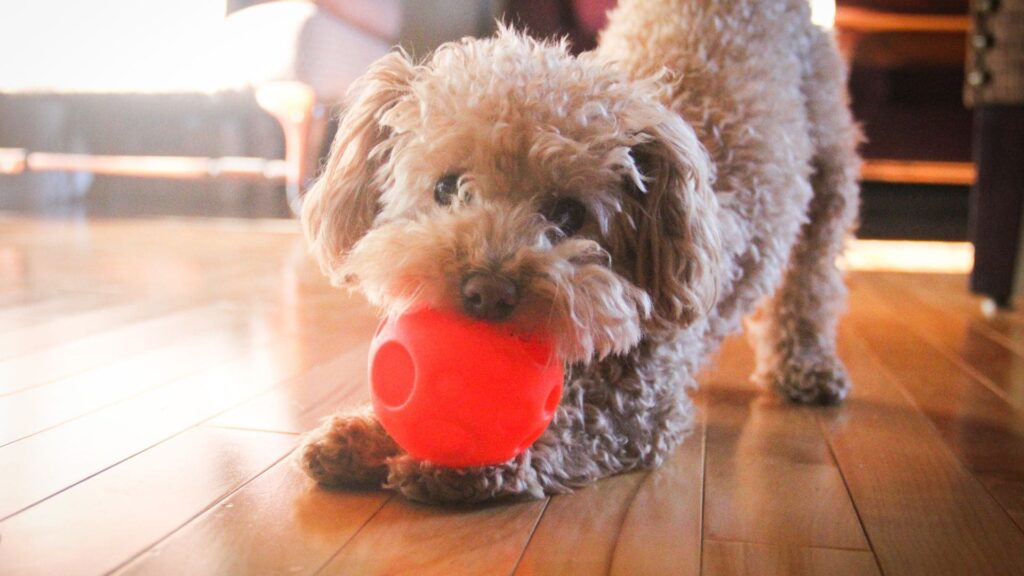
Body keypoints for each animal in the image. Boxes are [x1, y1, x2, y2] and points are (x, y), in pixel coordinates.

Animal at [299, 0, 864, 502]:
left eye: (568, 215)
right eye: (446, 188)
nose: (486, 291)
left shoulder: (638, 403)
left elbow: (572, 422)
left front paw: (464, 463)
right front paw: (357, 436)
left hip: (831, 172)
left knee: (812, 282)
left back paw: (807, 366)